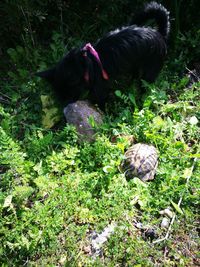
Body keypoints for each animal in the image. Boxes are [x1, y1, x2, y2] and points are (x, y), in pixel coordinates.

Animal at [36, 1, 170, 108]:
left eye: (69, 95)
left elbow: (100, 103)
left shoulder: (100, 89)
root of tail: (160, 35)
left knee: (145, 84)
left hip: (150, 71)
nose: (65, 106)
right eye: (60, 97)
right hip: (134, 64)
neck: (84, 64)